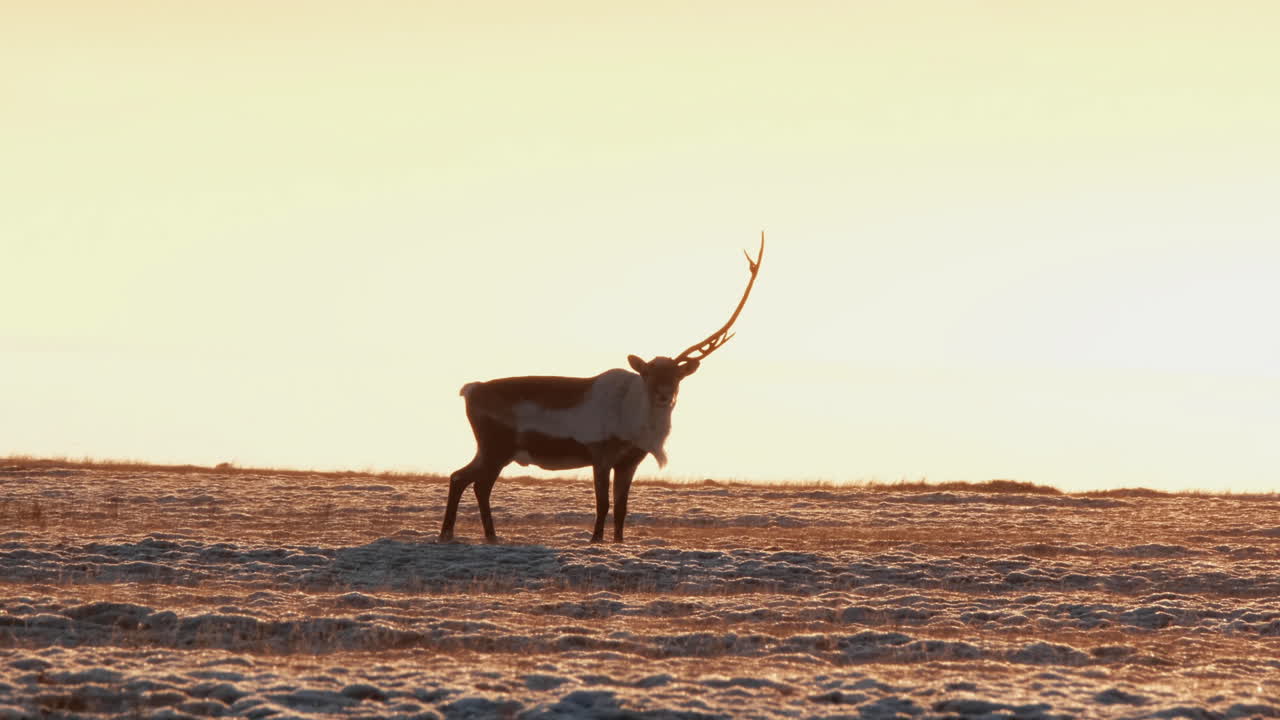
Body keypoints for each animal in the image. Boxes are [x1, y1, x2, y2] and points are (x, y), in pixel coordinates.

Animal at [438, 233, 765, 543]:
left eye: (677, 375)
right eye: (647, 373)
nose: (664, 395)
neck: (636, 424)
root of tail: (470, 390)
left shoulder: (630, 460)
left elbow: (622, 507)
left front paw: (618, 542)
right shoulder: (600, 452)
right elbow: (603, 504)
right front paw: (595, 540)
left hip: (493, 449)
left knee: (462, 478)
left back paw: (465, 534)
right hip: (495, 445)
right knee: (475, 482)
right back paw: (473, 534)